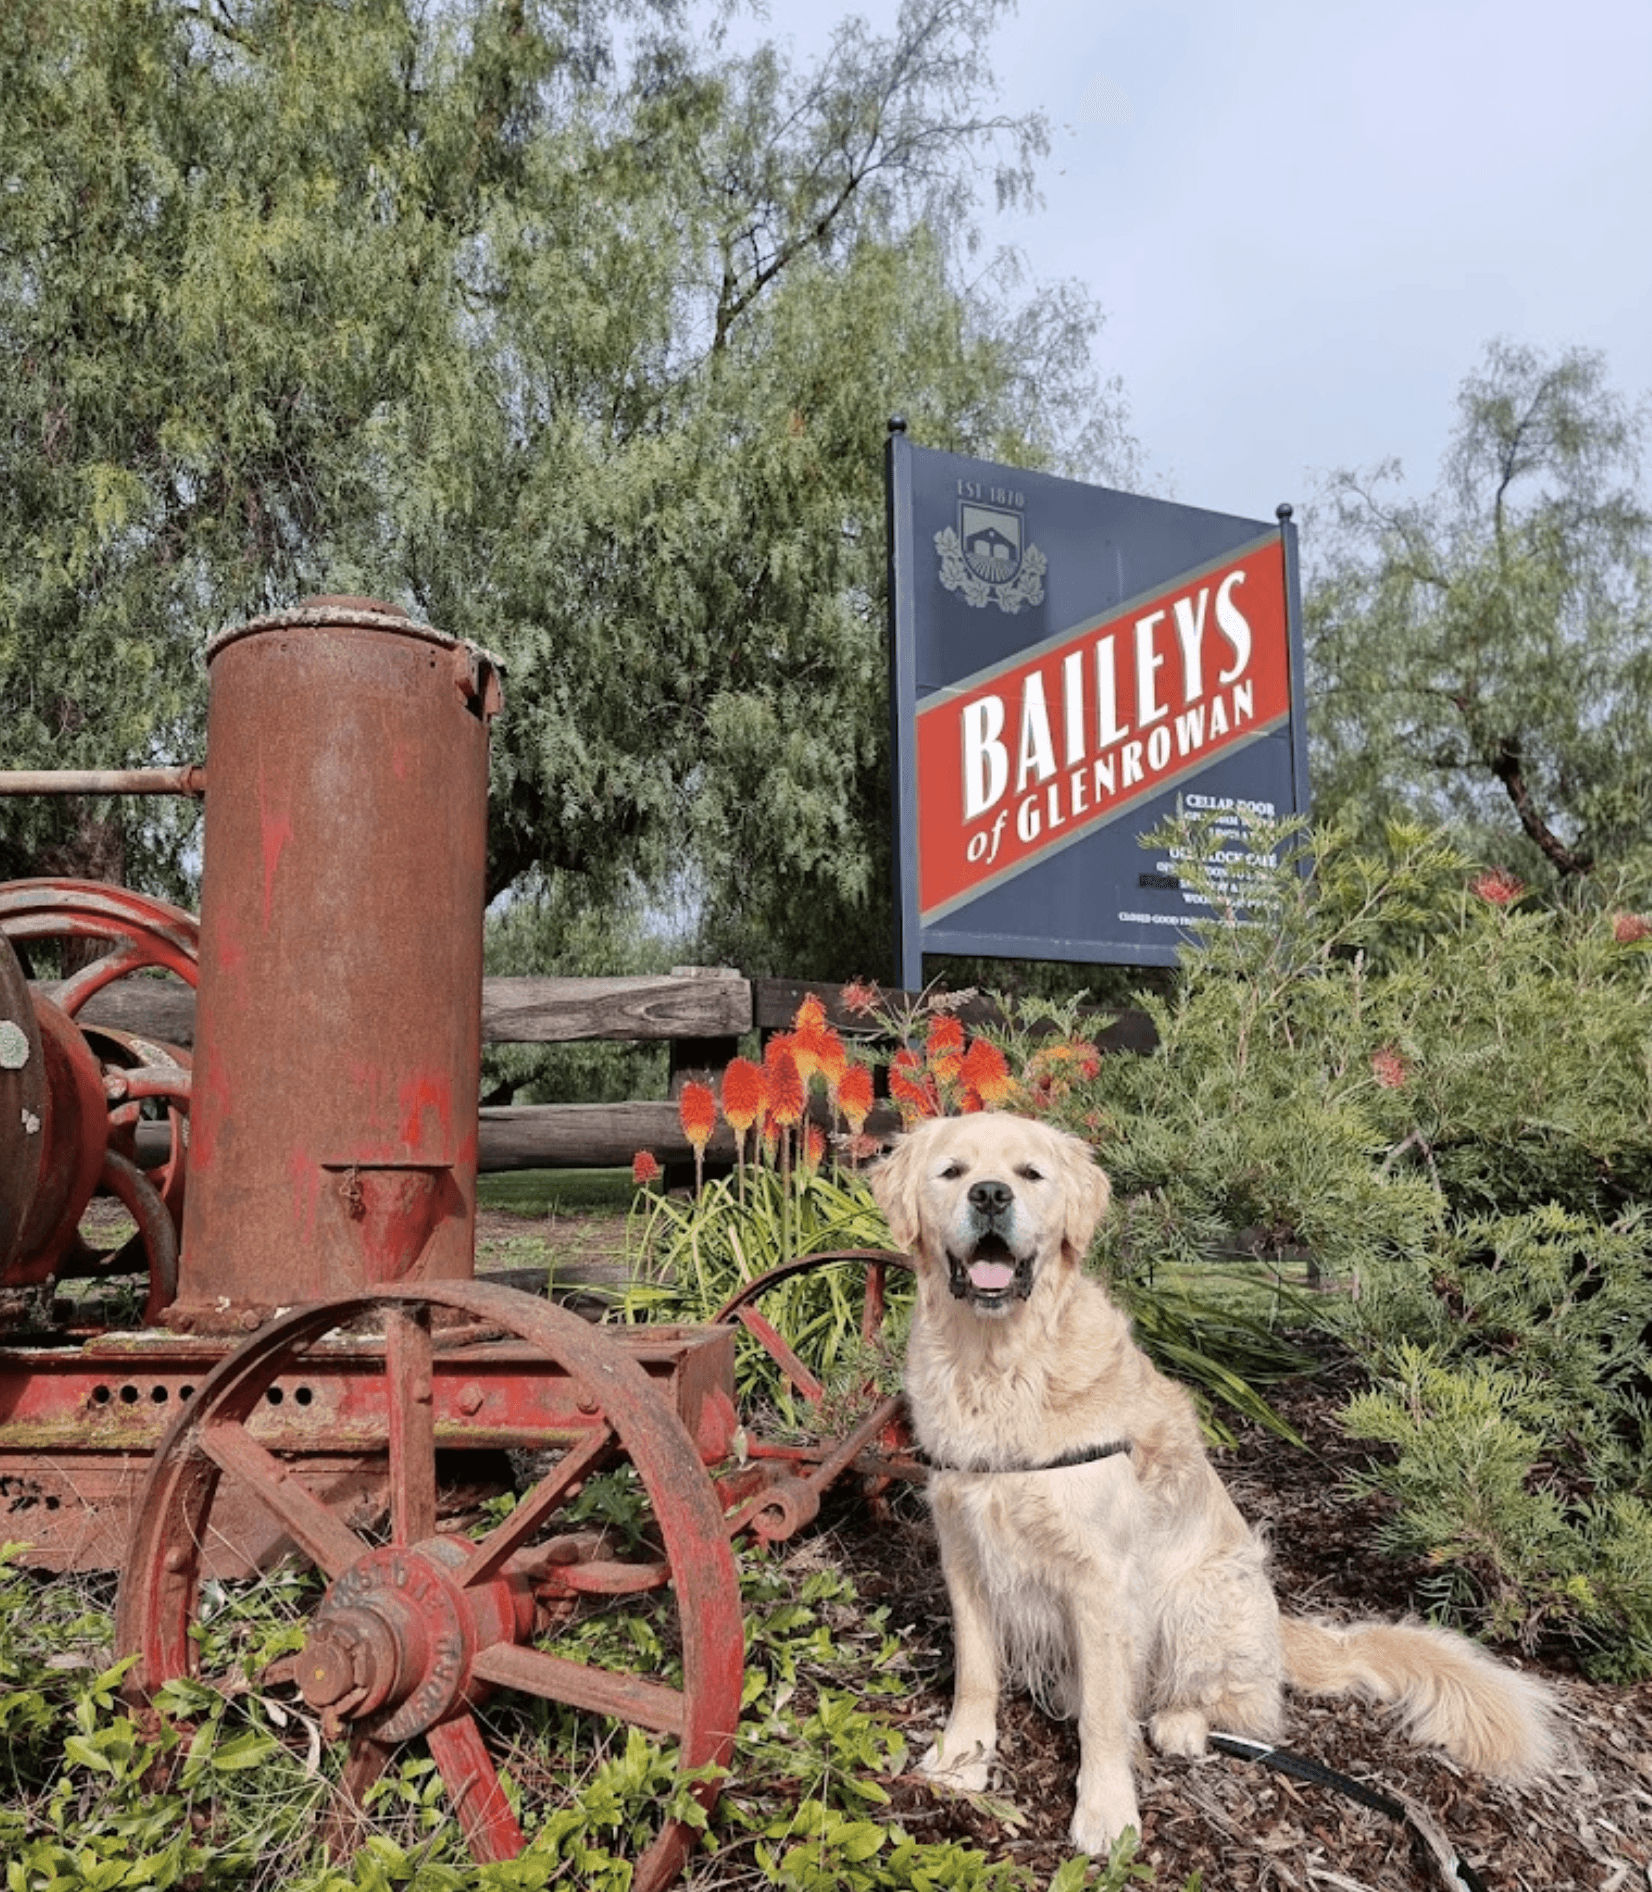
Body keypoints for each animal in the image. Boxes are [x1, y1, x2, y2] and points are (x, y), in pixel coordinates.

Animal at [870, 1112, 1551, 1854]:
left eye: (1030, 1174)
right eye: (953, 1171)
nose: (991, 1196)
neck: (999, 1364)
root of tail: (1281, 1625)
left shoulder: (1100, 1578)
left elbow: (1105, 1713)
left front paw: (1105, 1811)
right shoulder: (964, 1550)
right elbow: (976, 1673)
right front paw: (962, 1757)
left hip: (1200, 1593)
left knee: (1236, 1705)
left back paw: (1180, 1723)